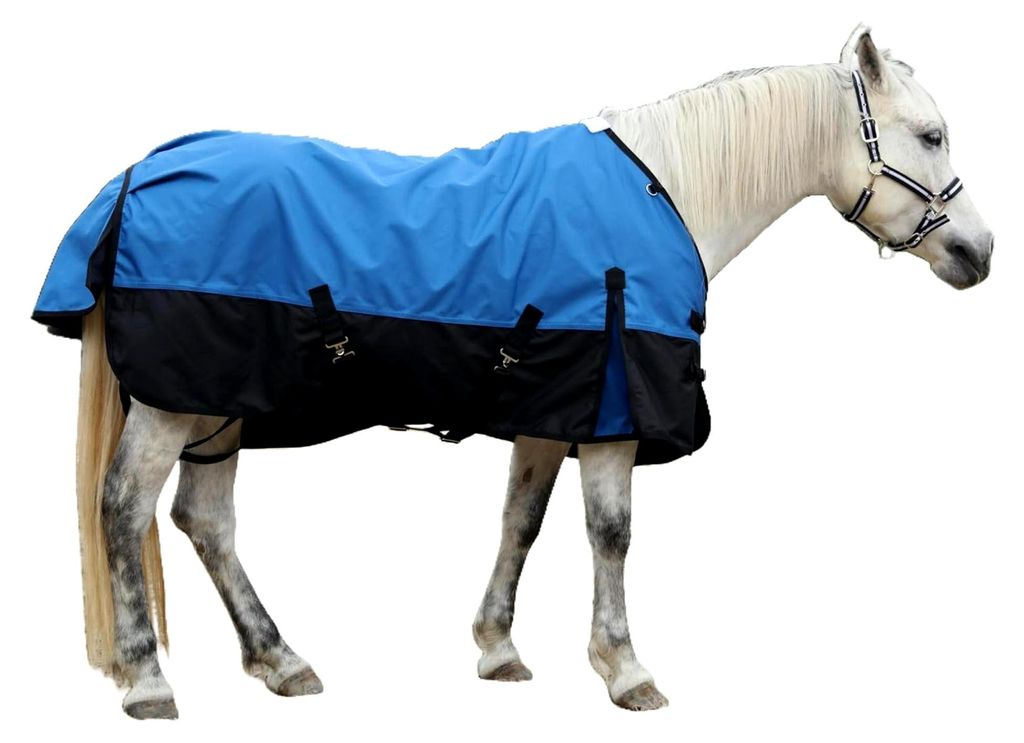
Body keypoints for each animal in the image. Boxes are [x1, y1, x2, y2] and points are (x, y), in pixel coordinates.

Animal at [35, 24, 993, 719]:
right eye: (931, 135)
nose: (980, 253)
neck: (667, 191)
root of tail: (133, 179)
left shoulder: (555, 408)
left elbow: (521, 523)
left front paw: (498, 648)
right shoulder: (610, 415)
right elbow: (611, 533)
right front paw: (625, 668)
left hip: (217, 408)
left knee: (205, 520)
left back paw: (281, 659)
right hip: (172, 407)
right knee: (123, 509)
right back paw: (150, 681)